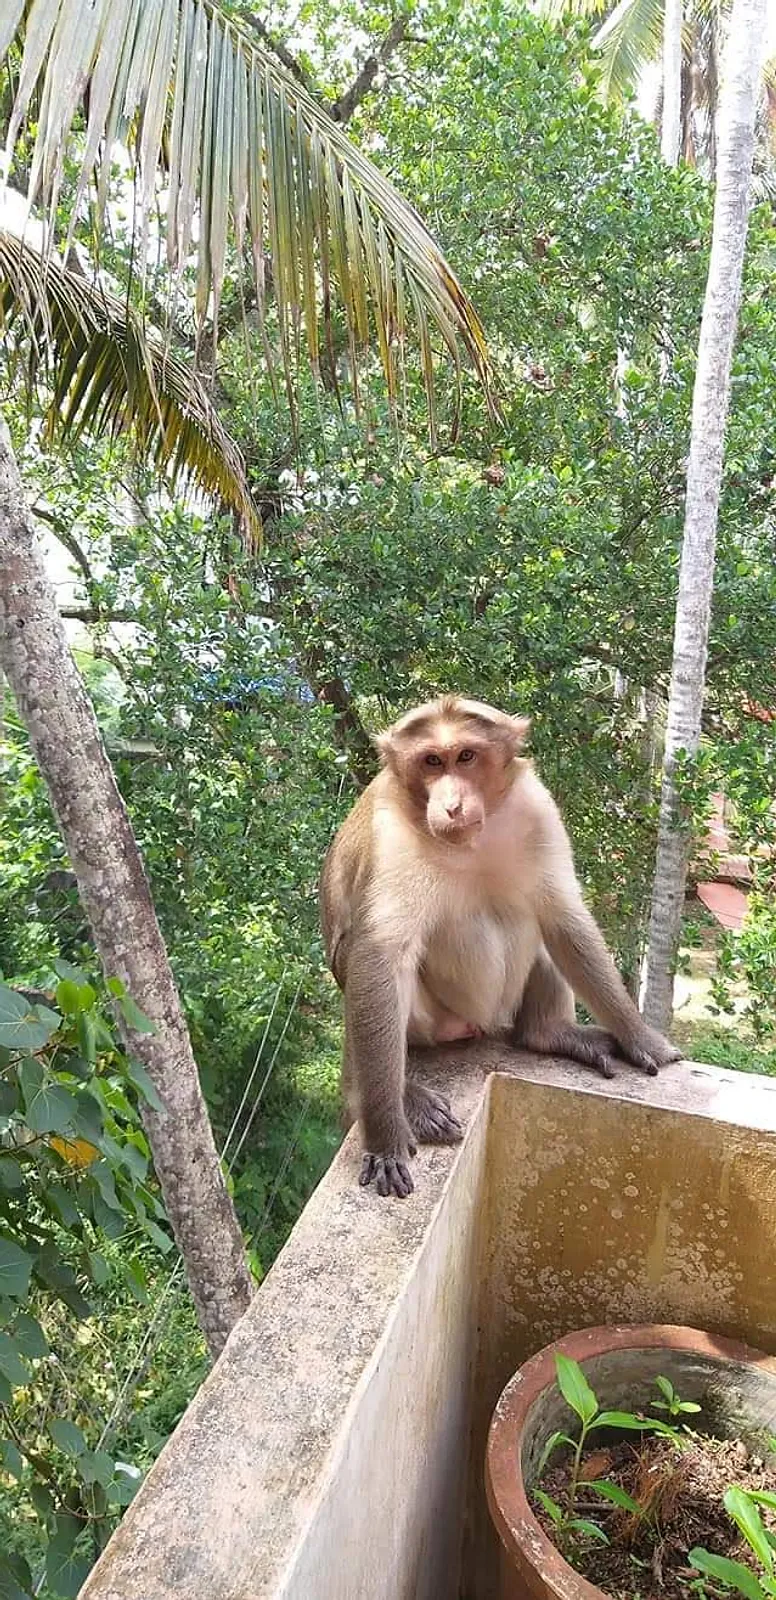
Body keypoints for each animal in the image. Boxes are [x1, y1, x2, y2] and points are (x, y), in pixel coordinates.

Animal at [320, 696, 682, 1198]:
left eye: (466, 756)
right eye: (431, 762)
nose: (452, 805)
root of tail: (474, 1026)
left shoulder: (536, 806)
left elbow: (563, 917)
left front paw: (642, 1039)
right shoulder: (391, 833)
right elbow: (378, 957)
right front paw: (387, 1139)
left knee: (534, 918)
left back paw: (548, 1033)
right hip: (433, 1022)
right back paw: (399, 1097)